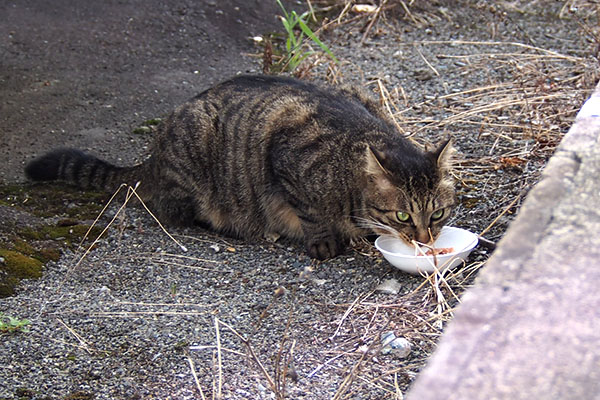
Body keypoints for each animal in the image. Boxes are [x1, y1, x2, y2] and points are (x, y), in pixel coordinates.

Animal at [24, 75, 454, 260]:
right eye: (402, 215)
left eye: (438, 214)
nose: (426, 239)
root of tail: (152, 156)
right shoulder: (286, 158)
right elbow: (311, 212)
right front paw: (324, 242)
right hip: (195, 150)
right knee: (173, 211)